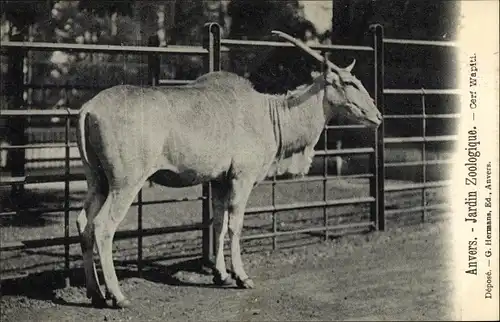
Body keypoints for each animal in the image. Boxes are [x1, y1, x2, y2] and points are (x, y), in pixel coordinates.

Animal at [74, 30, 380, 310]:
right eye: (350, 82)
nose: (377, 116)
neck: (271, 114)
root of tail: (89, 108)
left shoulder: (219, 181)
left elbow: (218, 223)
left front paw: (220, 275)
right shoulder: (241, 178)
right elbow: (235, 225)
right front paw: (241, 277)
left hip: (98, 181)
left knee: (83, 222)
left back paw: (96, 293)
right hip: (125, 183)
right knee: (102, 226)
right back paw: (117, 295)